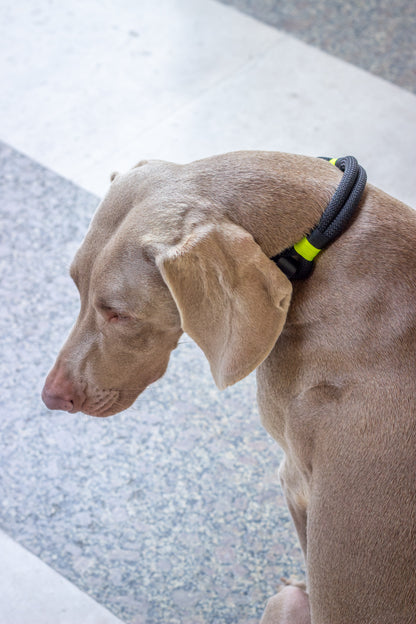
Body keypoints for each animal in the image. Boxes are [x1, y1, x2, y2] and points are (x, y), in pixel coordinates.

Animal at [42, 152, 416, 624]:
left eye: (120, 314)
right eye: (76, 283)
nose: (52, 396)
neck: (325, 240)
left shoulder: (294, 479)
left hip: (283, 601)